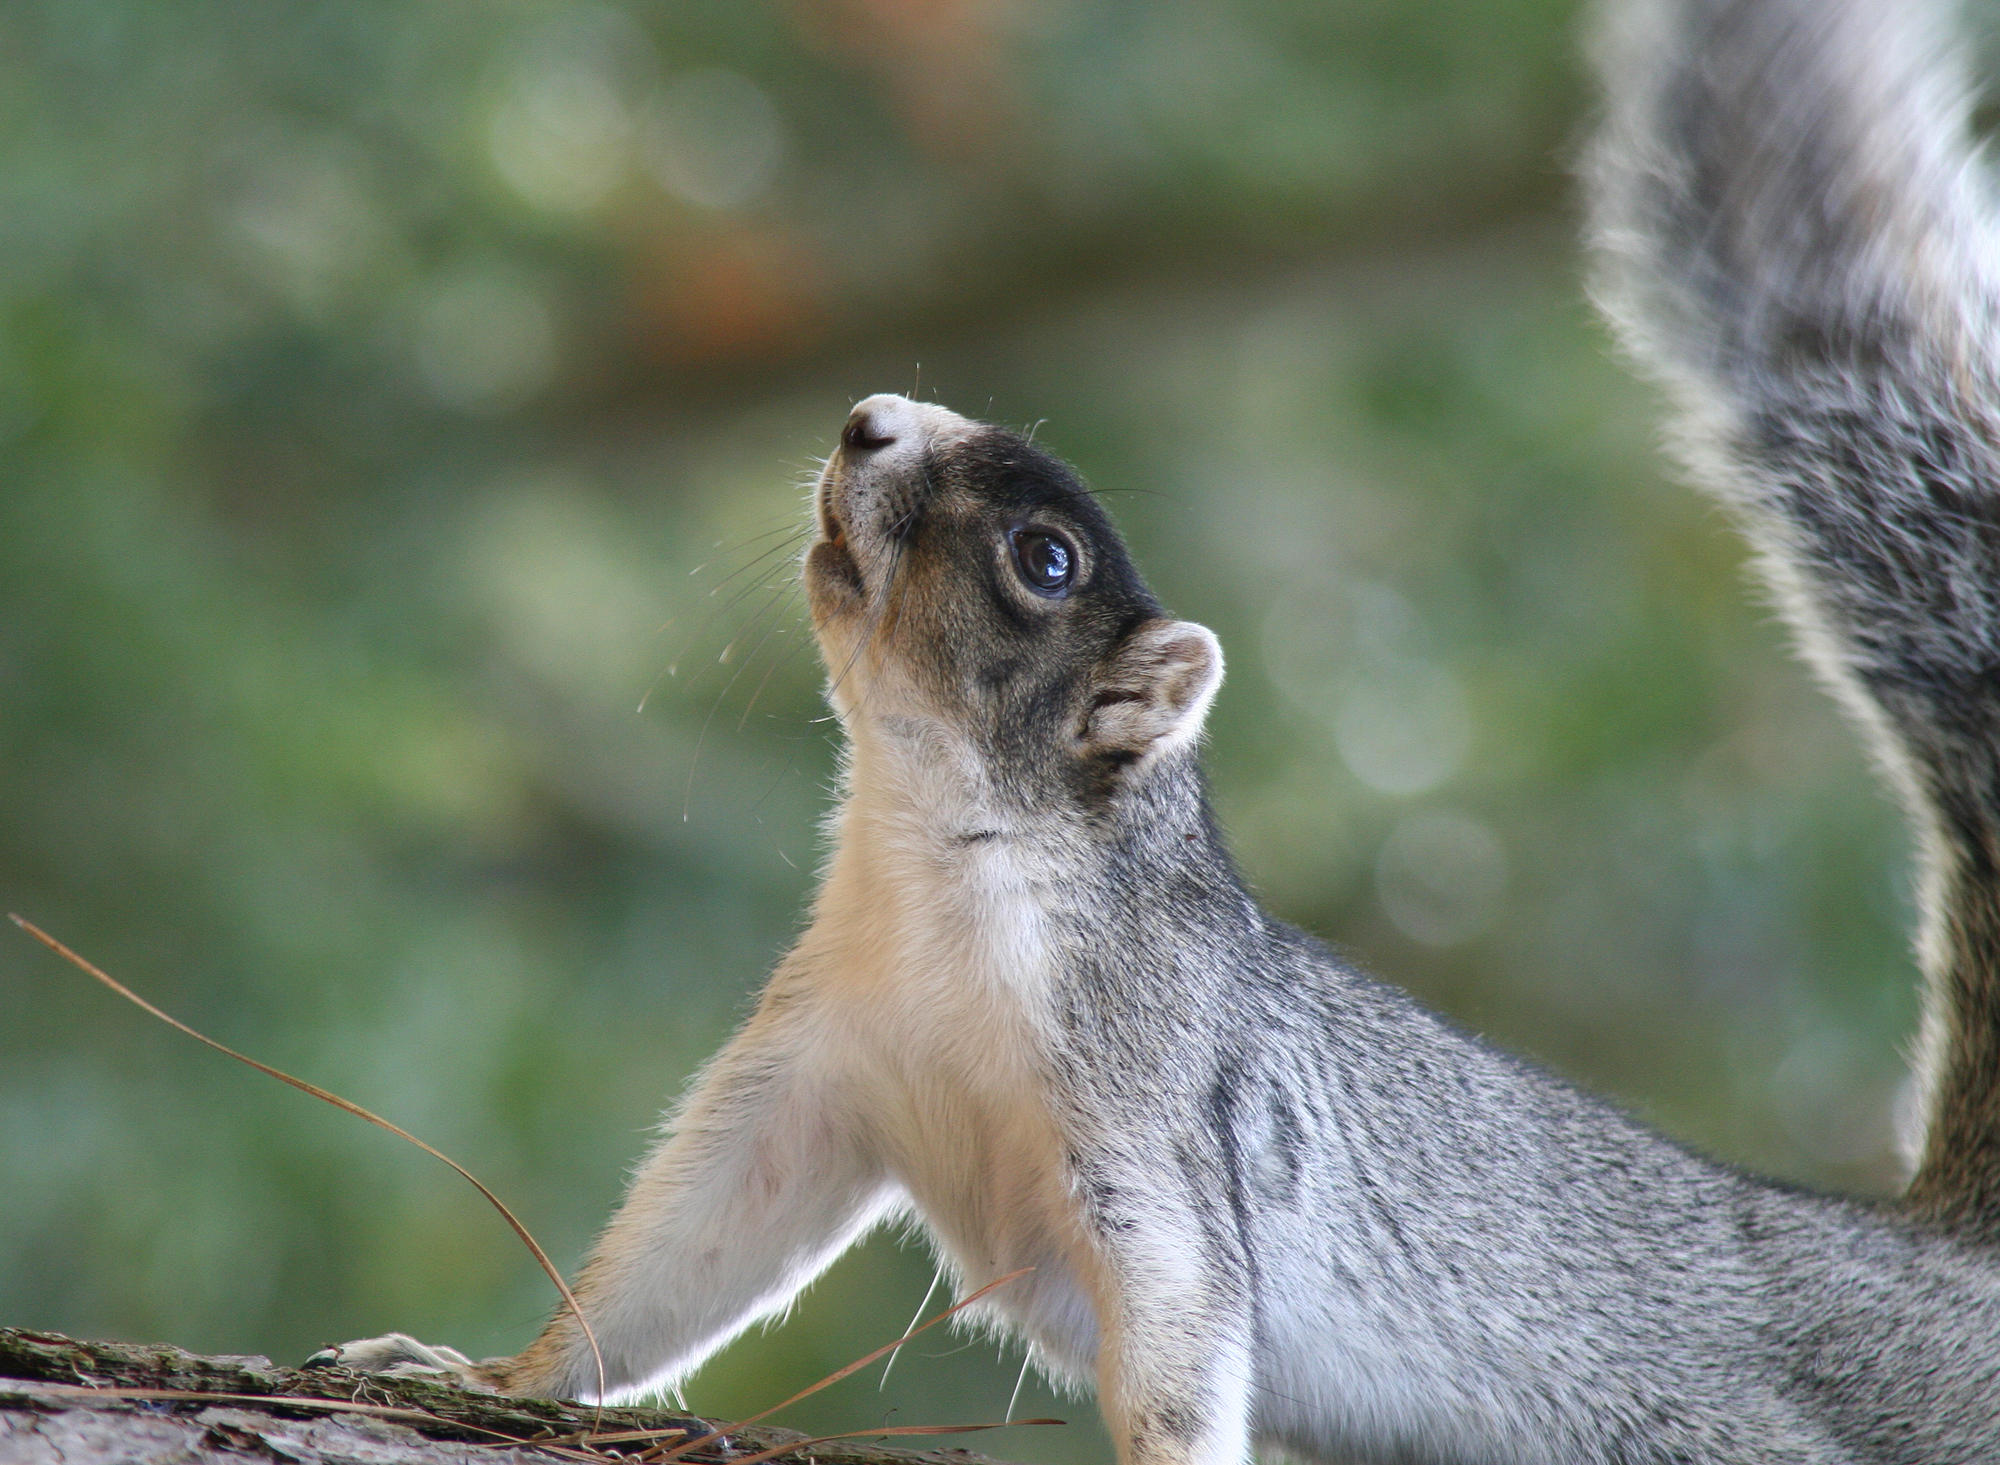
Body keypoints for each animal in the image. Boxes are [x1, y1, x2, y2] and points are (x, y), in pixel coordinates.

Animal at [312, 0, 2000, 1456]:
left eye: (1046, 560)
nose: (867, 418)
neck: (932, 864)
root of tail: (1942, 1273)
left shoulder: (1153, 1123)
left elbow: (1185, 1332)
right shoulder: (809, 1075)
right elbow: (671, 1266)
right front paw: (479, 1371)